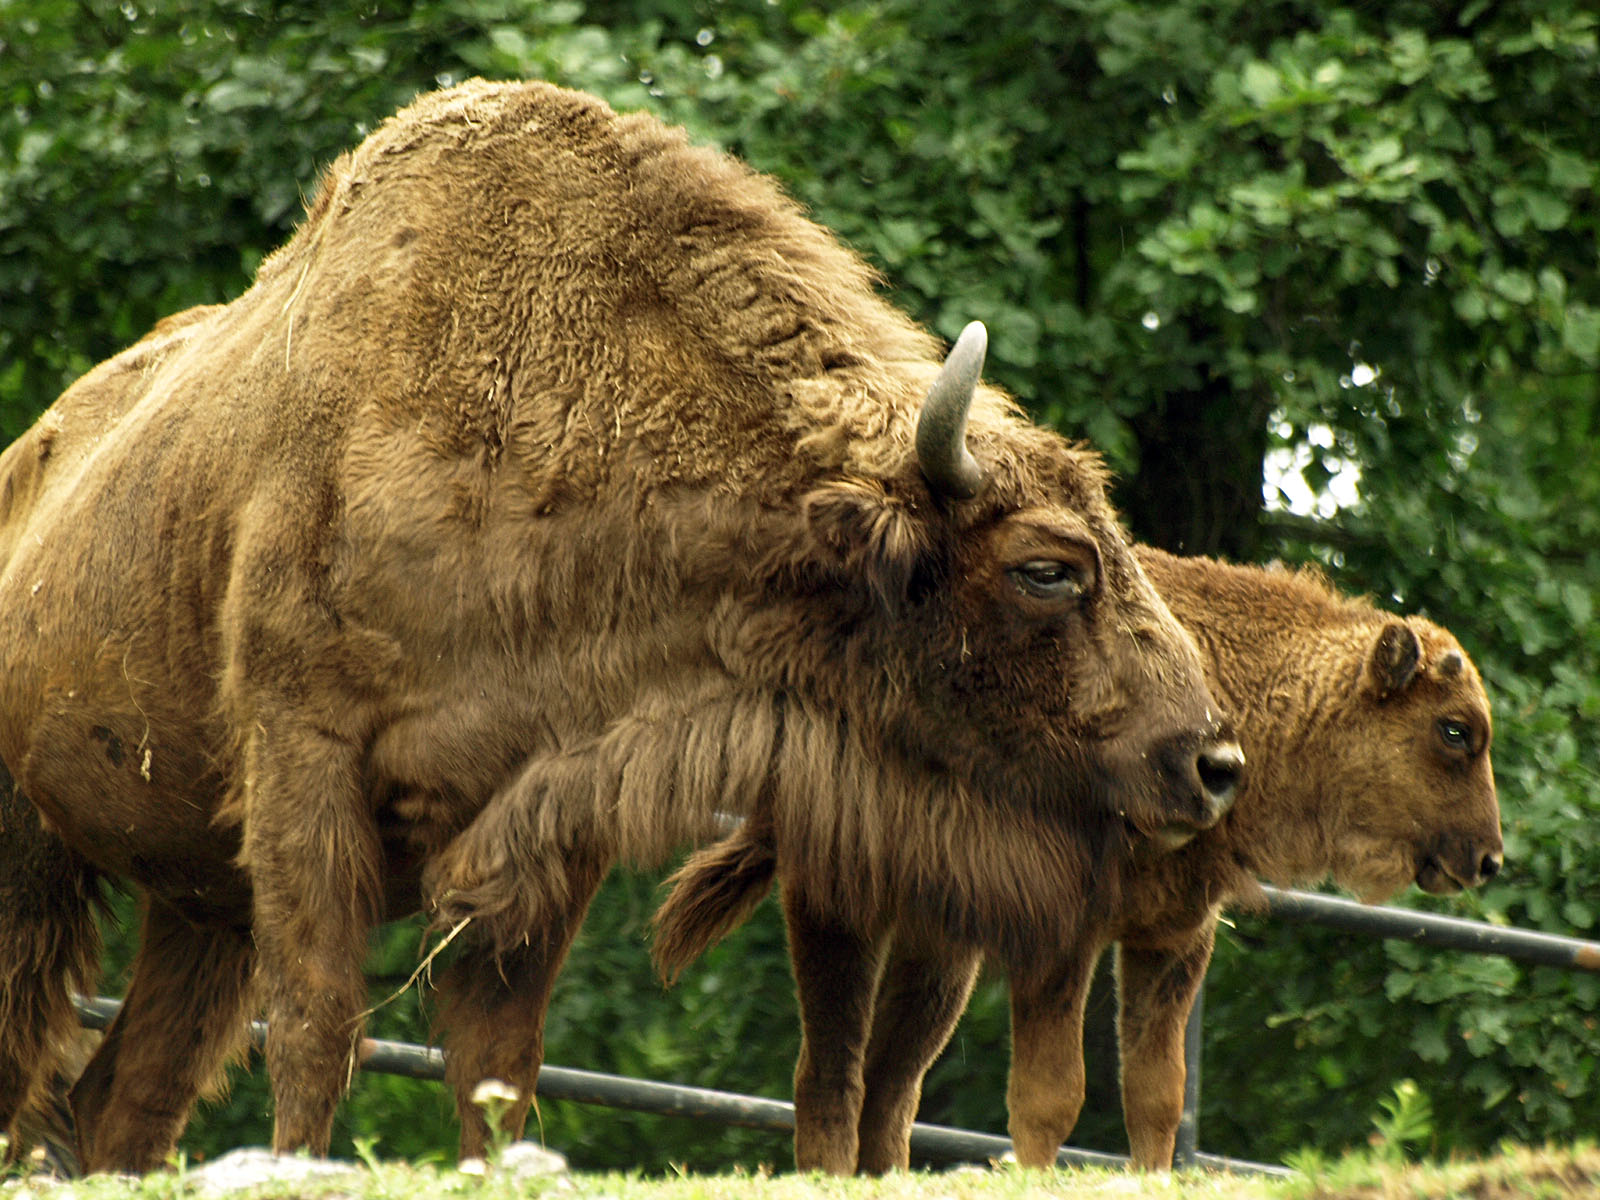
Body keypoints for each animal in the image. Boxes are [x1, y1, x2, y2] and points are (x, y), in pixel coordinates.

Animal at [0, 79, 1244, 1174]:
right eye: (1048, 568)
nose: (1212, 762)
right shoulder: (304, 766)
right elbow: (317, 1029)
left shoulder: (545, 814)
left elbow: (498, 1065)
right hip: (42, 851)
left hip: (193, 898)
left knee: (126, 1094)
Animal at [652, 545, 1503, 1172]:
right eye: (1455, 729)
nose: (1490, 860)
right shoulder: (1063, 936)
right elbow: (1051, 1095)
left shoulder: (1174, 938)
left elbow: (1157, 1092)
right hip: (838, 909)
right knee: (832, 1070)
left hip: (943, 948)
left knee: (894, 1084)